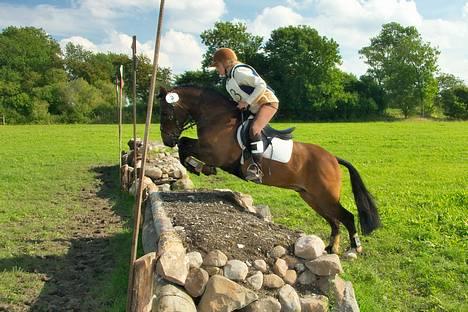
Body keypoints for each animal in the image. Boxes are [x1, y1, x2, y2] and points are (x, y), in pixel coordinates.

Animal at [158, 84, 380, 254]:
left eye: (166, 113)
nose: (167, 140)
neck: (218, 118)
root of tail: (333, 158)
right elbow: (184, 144)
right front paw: (200, 167)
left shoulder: (215, 153)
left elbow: (184, 145)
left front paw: (197, 166)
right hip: (312, 197)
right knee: (335, 221)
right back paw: (331, 248)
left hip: (325, 197)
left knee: (347, 217)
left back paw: (354, 249)